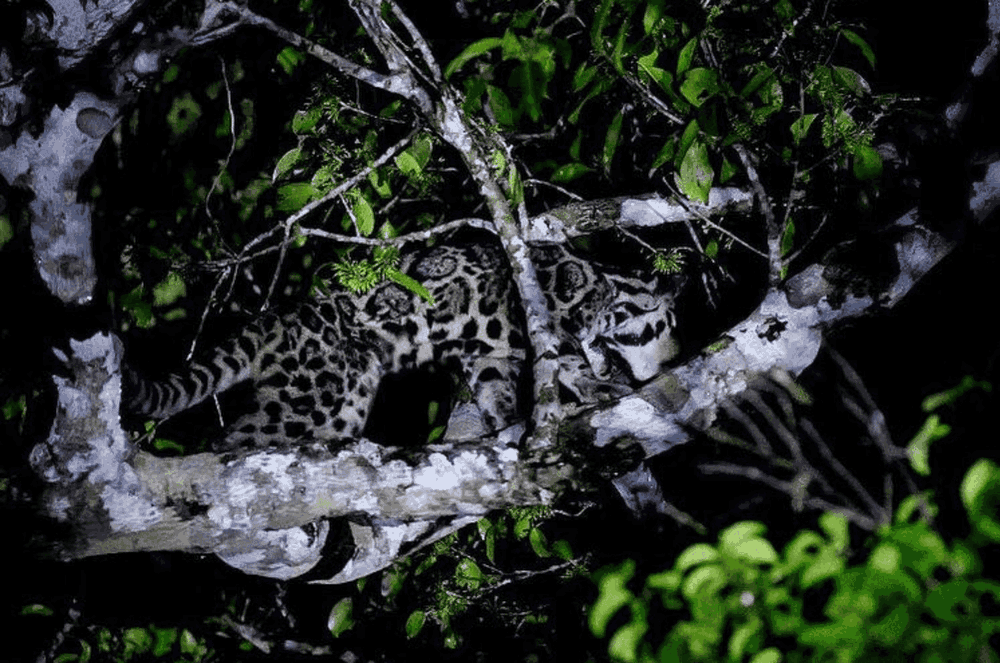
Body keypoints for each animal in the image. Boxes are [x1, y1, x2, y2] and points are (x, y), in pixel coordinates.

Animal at [123, 238, 682, 451]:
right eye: (670, 325)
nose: (675, 356)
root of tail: (279, 318)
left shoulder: (487, 354)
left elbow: (496, 386)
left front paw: (507, 420)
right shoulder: (552, 307)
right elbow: (567, 356)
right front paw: (595, 387)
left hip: (338, 408)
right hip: (313, 398)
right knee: (234, 443)